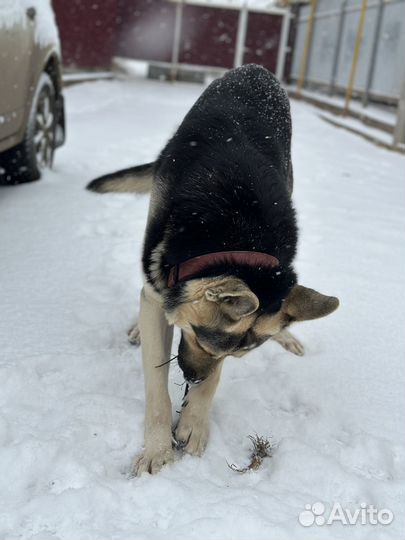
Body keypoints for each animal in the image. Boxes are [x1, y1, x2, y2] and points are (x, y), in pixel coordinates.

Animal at [87, 65, 338, 474]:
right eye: (196, 337)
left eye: (234, 357)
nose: (191, 377)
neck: (239, 237)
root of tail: (256, 69)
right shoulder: (161, 293)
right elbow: (156, 383)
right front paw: (158, 449)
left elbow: (216, 377)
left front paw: (194, 421)